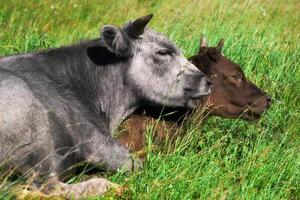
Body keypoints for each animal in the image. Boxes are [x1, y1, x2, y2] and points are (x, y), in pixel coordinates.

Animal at [0, 14, 211, 198]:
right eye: (163, 52)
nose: (207, 81)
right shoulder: (95, 140)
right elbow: (137, 165)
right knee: (49, 187)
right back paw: (111, 186)